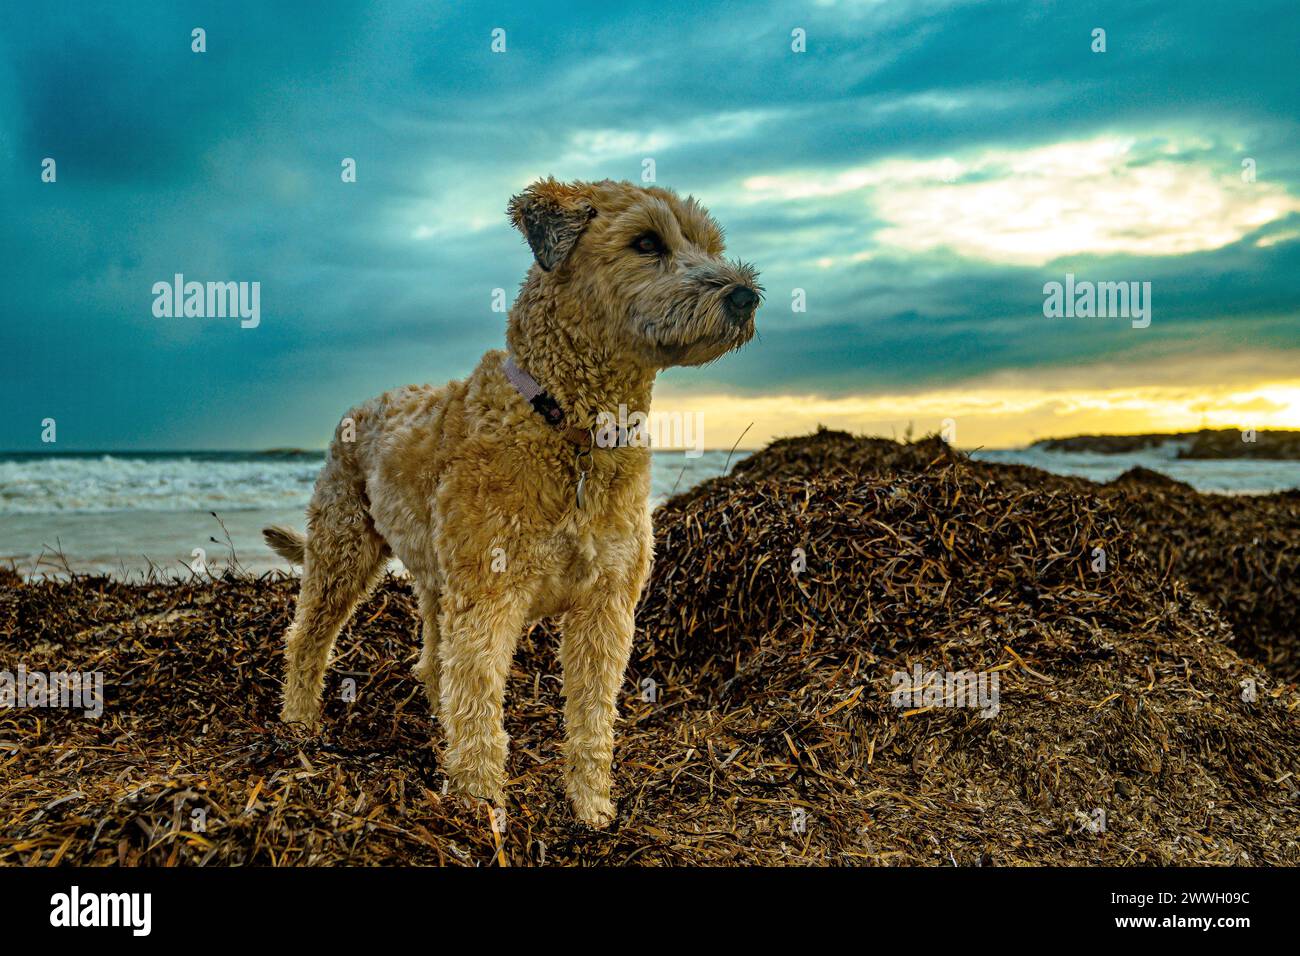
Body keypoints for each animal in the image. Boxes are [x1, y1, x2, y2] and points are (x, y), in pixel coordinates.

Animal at [265, 180, 759, 832]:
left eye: (709, 244)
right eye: (646, 243)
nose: (746, 296)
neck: (571, 427)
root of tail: (364, 404)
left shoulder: (607, 605)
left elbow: (592, 716)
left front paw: (591, 807)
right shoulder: (491, 596)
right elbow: (479, 704)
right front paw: (479, 805)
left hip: (434, 574)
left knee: (433, 659)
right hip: (342, 548)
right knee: (310, 636)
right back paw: (299, 723)